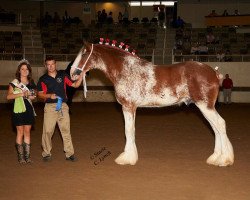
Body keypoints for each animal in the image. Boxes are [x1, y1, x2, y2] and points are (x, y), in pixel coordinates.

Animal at [69, 41, 233, 166]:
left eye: (84, 54)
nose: (72, 73)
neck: (126, 69)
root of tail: (214, 72)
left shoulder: (128, 106)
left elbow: (128, 131)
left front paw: (127, 158)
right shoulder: (130, 107)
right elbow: (130, 131)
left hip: (205, 106)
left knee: (220, 124)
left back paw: (224, 159)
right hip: (205, 107)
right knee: (215, 128)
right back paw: (215, 157)